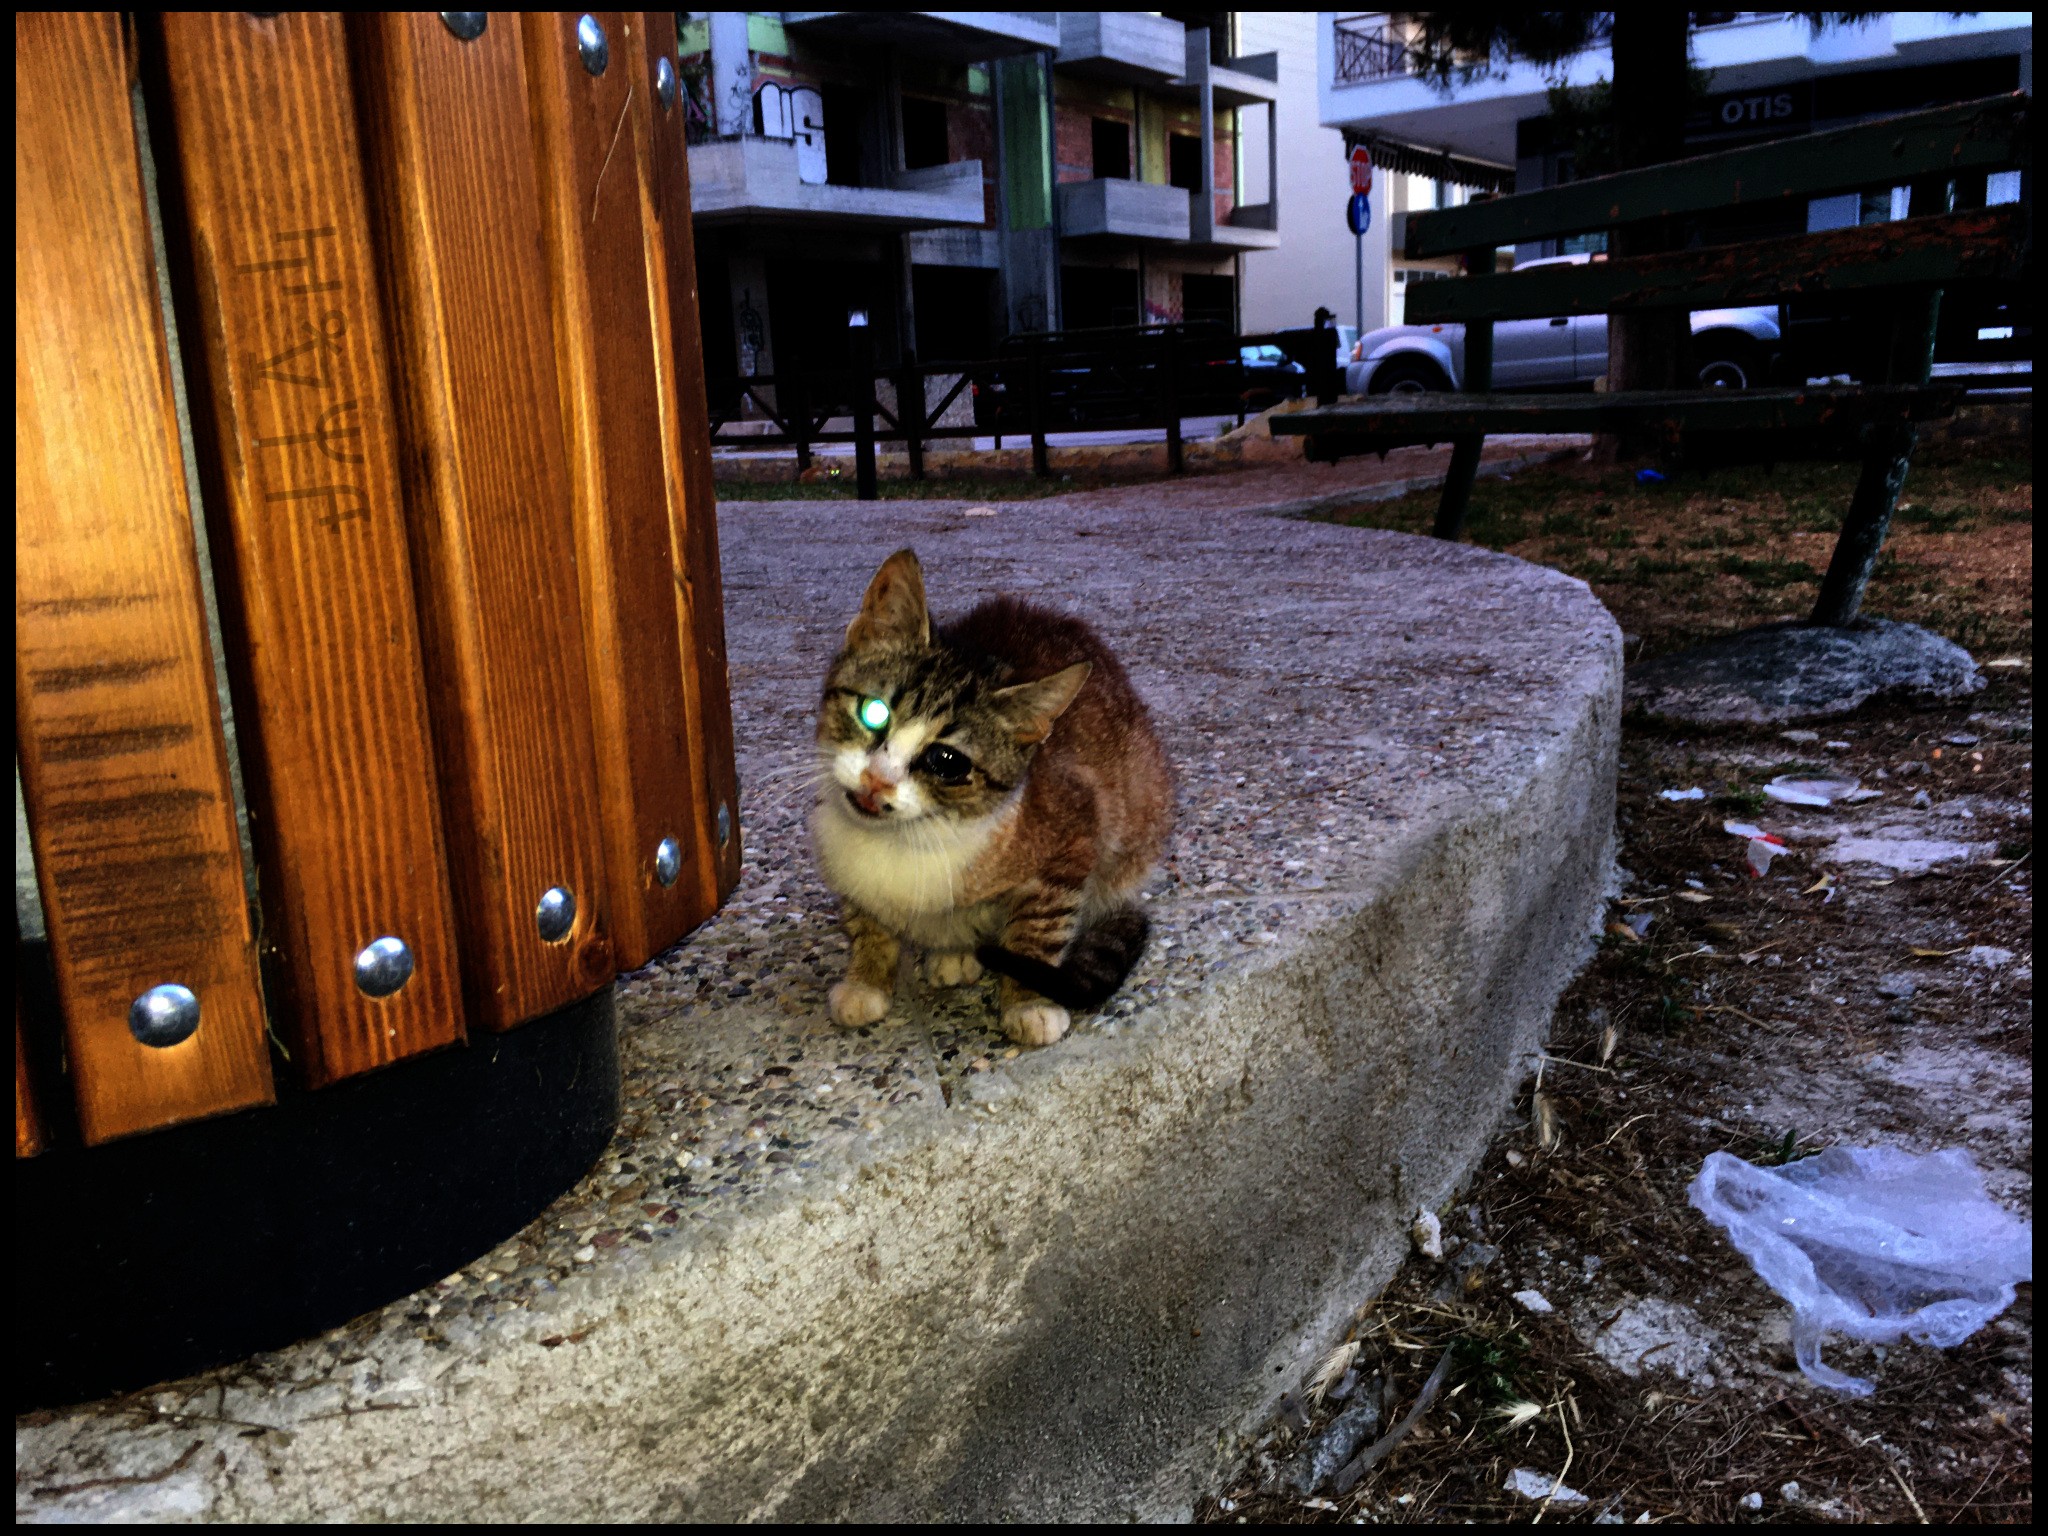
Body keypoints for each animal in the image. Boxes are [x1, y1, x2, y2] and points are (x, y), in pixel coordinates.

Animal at [806, 548, 1179, 1048]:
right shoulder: (844, 861)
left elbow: (1039, 928)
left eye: (947, 761)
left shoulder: (1075, 827)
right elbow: (866, 919)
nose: (876, 780)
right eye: (874, 712)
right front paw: (867, 976)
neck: (909, 836)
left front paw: (1028, 1003)